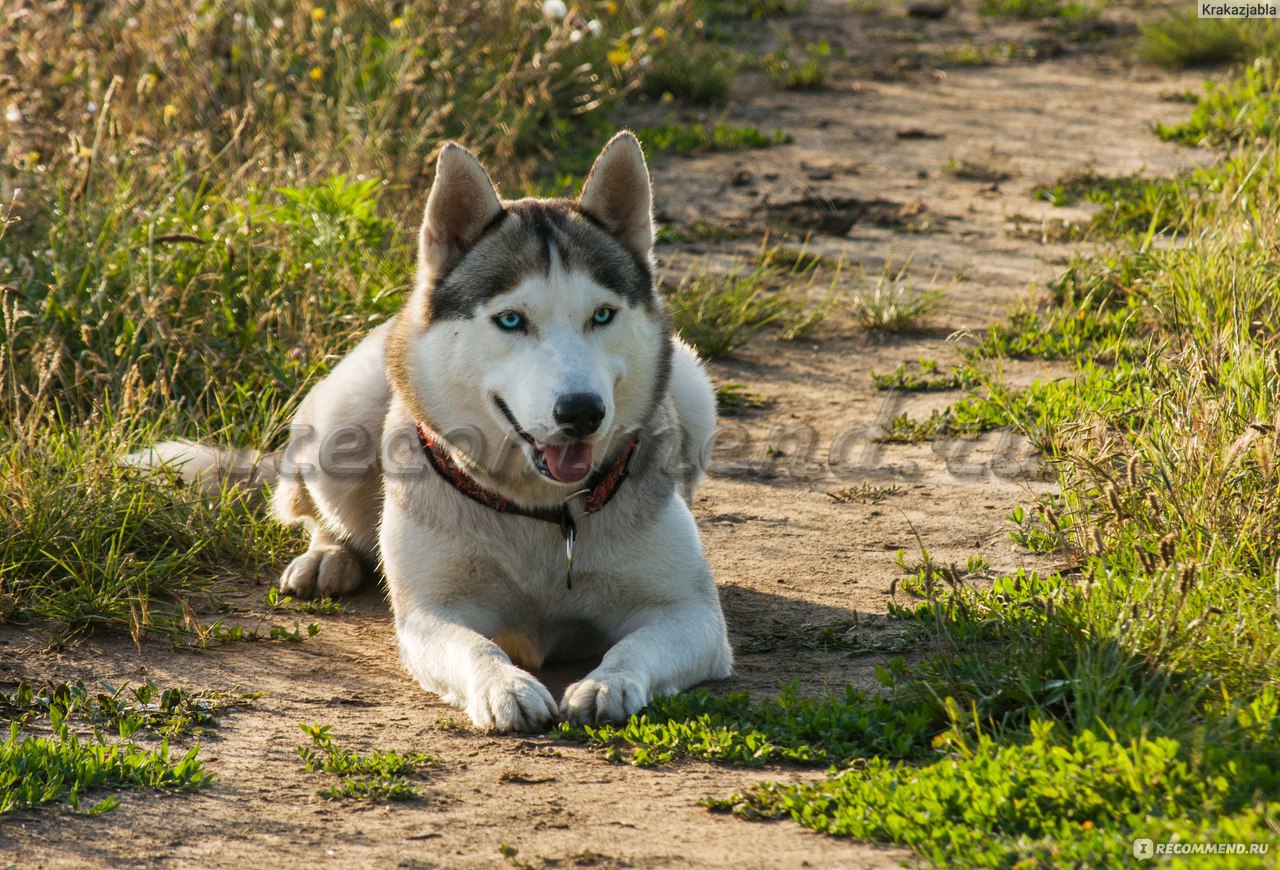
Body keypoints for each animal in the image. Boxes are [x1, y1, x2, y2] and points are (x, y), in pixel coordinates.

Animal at [132, 132, 732, 731]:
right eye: (511, 320)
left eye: (602, 315)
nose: (581, 412)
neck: (539, 512)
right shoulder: (431, 614)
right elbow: (474, 646)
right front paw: (504, 687)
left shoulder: (693, 617)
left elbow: (636, 646)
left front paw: (608, 683)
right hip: (342, 420)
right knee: (313, 506)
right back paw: (328, 555)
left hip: (694, 385)